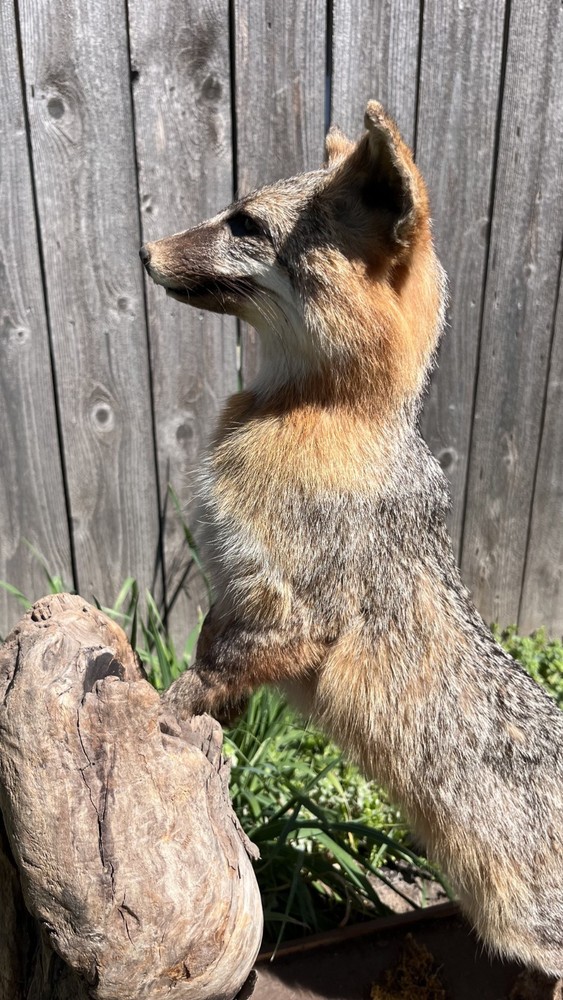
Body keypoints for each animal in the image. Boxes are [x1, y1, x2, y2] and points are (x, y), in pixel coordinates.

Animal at [140, 101, 563, 979]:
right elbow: (215, 668)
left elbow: (199, 676)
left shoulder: (295, 613)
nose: (145, 251)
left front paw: (156, 709)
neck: (314, 412)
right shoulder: (237, 594)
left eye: (245, 224)